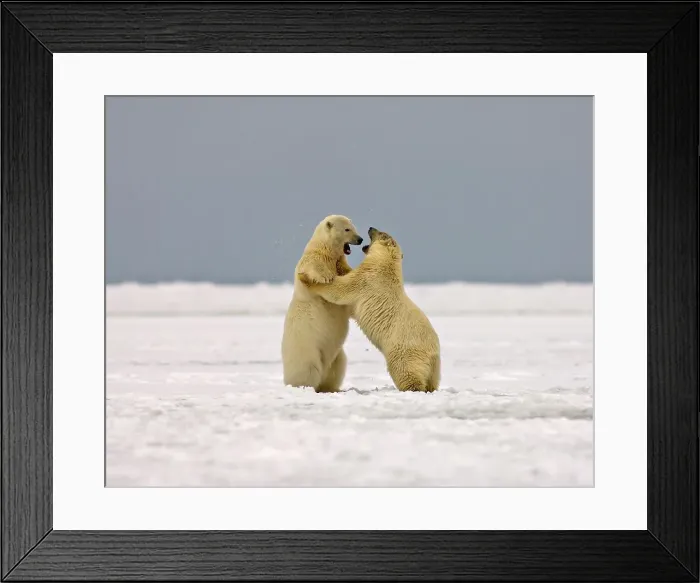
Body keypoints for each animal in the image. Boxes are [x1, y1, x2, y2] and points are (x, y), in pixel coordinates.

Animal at [281, 215, 363, 393]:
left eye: (354, 227)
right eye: (347, 229)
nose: (360, 239)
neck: (325, 251)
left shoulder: (339, 264)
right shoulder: (309, 264)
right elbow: (311, 269)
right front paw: (326, 276)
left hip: (336, 355)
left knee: (337, 367)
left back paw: (333, 388)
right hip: (307, 350)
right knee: (308, 369)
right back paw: (305, 386)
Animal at [306, 227, 441, 392]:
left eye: (381, 233)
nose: (371, 228)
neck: (385, 265)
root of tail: (433, 354)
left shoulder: (366, 279)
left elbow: (341, 290)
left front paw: (310, 281)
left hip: (405, 353)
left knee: (406, 372)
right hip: (435, 369)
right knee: (432, 381)